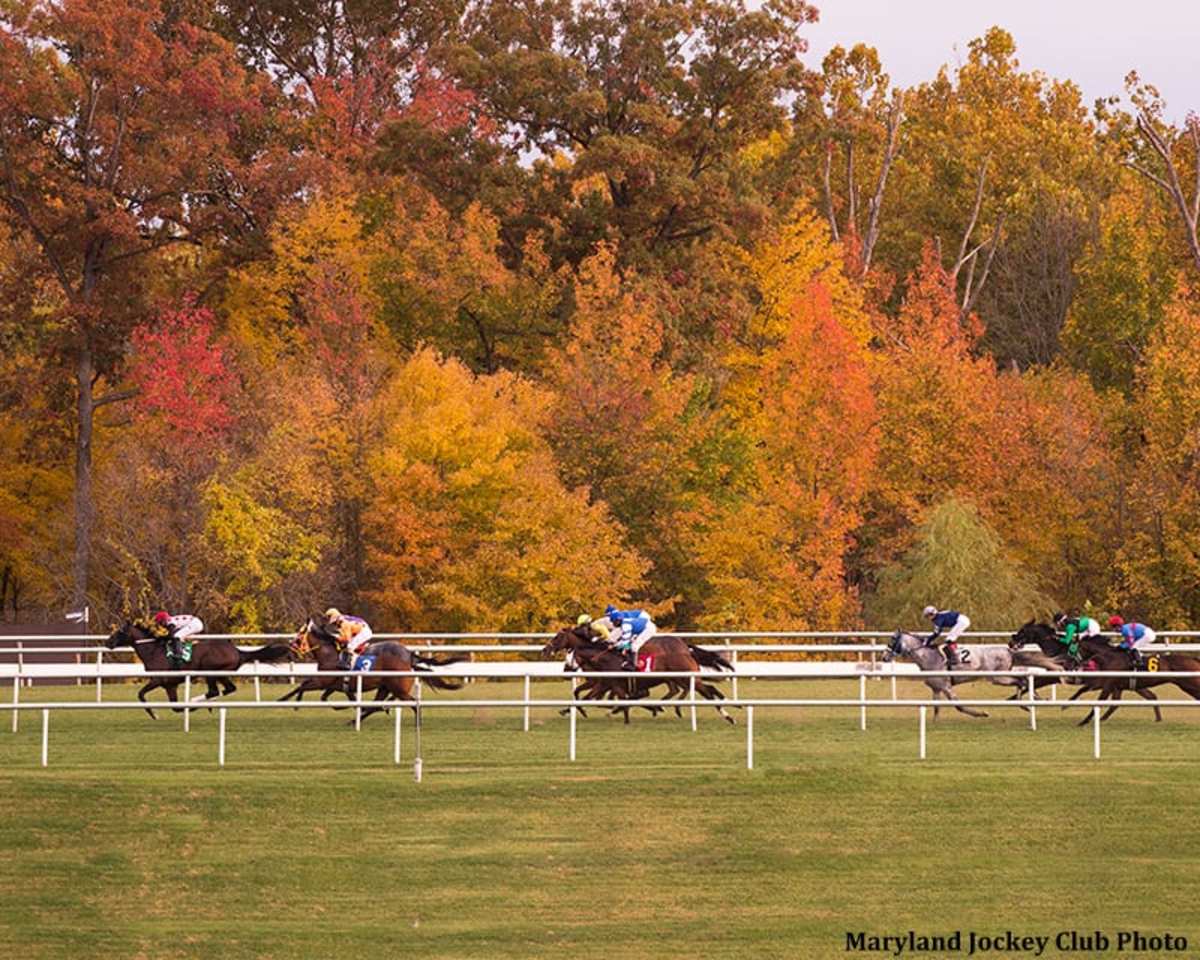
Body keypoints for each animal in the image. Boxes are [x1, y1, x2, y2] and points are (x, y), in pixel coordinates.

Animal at [105, 624, 292, 720]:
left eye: (119, 631)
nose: (108, 642)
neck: (153, 651)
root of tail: (237, 651)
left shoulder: (158, 680)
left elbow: (141, 694)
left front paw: (154, 714)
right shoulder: (170, 685)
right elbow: (176, 708)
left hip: (210, 671)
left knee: (214, 690)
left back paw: (197, 701)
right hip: (221, 674)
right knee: (227, 689)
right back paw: (206, 704)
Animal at [283, 619, 465, 724]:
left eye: (299, 635)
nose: (290, 647)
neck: (329, 653)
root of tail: (409, 655)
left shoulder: (323, 681)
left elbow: (303, 685)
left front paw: (286, 700)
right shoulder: (335, 685)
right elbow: (325, 697)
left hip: (398, 688)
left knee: (412, 703)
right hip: (385, 687)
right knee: (376, 704)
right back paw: (359, 717)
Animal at [540, 624, 734, 724]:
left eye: (557, 637)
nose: (544, 650)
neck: (602, 655)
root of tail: (686, 648)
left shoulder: (604, 683)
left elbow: (590, 698)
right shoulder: (604, 683)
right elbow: (582, 694)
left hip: (683, 677)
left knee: (706, 691)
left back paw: (727, 715)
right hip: (679, 678)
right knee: (698, 689)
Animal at [883, 633, 1041, 715]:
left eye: (892, 640)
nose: (884, 657)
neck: (928, 656)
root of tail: (1008, 650)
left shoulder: (946, 687)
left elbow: (959, 706)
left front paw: (981, 714)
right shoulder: (936, 688)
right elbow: (936, 710)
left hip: (998, 677)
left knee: (1021, 679)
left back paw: (1030, 700)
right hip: (1000, 676)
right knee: (1022, 680)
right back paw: (1029, 701)